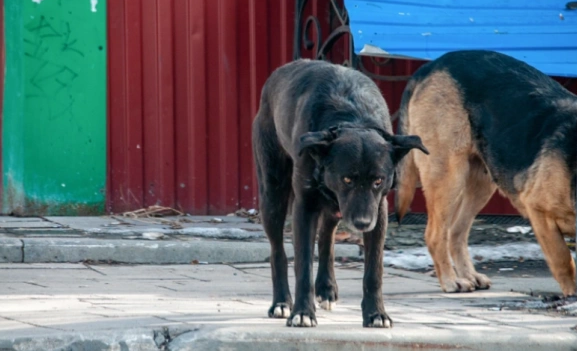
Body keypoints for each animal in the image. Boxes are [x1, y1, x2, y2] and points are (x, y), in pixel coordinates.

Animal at [252, 59, 428, 328]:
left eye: (378, 181)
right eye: (347, 179)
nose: (362, 223)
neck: (353, 118)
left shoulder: (378, 211)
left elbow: (374, 271)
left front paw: (376, 314)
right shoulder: (305, 206)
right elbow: (303, 266)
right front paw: (302, 312)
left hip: (335, 208)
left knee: (326, 238)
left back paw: (326, 289)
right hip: (273, 193)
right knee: (278, 252)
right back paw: (282, 302)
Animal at [396, 49, 576, 296]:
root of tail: (431, 66)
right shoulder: (539, 211)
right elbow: (563, 260)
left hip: (481, 182)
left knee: (455, 232)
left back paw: (468, 275)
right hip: (449, 176)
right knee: (435, 234)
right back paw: (451, 281)